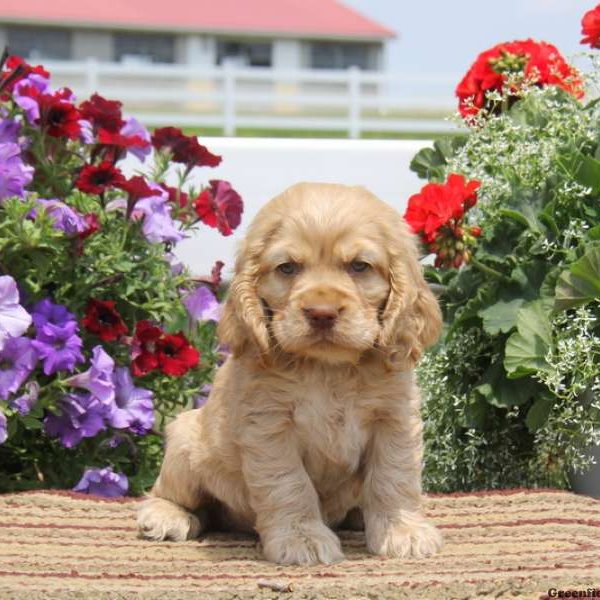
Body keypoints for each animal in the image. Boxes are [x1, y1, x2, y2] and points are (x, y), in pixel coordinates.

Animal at [138, 182, 442, 564]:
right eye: (287, 268)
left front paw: (402, 530)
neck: (328, 368)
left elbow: (394, 476)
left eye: (360, 266)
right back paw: (167, 516)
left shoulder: (394, 419)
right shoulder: (269, 426)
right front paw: (303, 539)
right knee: (170, 494)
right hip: (184, 441)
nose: (322, 312)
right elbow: (289, 483)